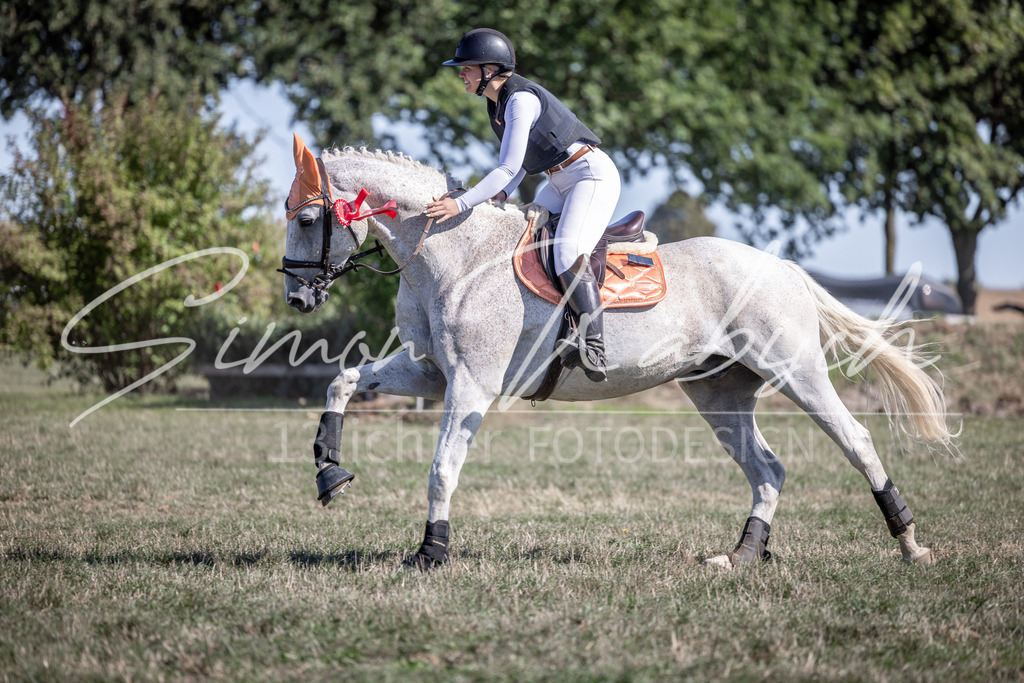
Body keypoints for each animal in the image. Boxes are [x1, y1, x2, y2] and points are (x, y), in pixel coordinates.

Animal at [280, 136, 953, 571]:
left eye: (309, 218)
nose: (297, 296)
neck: (454, 254)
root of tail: (782, 265)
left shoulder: (471, 383)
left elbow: (443, 467)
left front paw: (429, 553)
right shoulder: (429, 372)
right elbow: (343, 380)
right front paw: (329, 471)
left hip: (795, 371)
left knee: (855, 440)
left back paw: (911, 546)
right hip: (718, 391)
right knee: (768, 469)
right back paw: (740, 557)